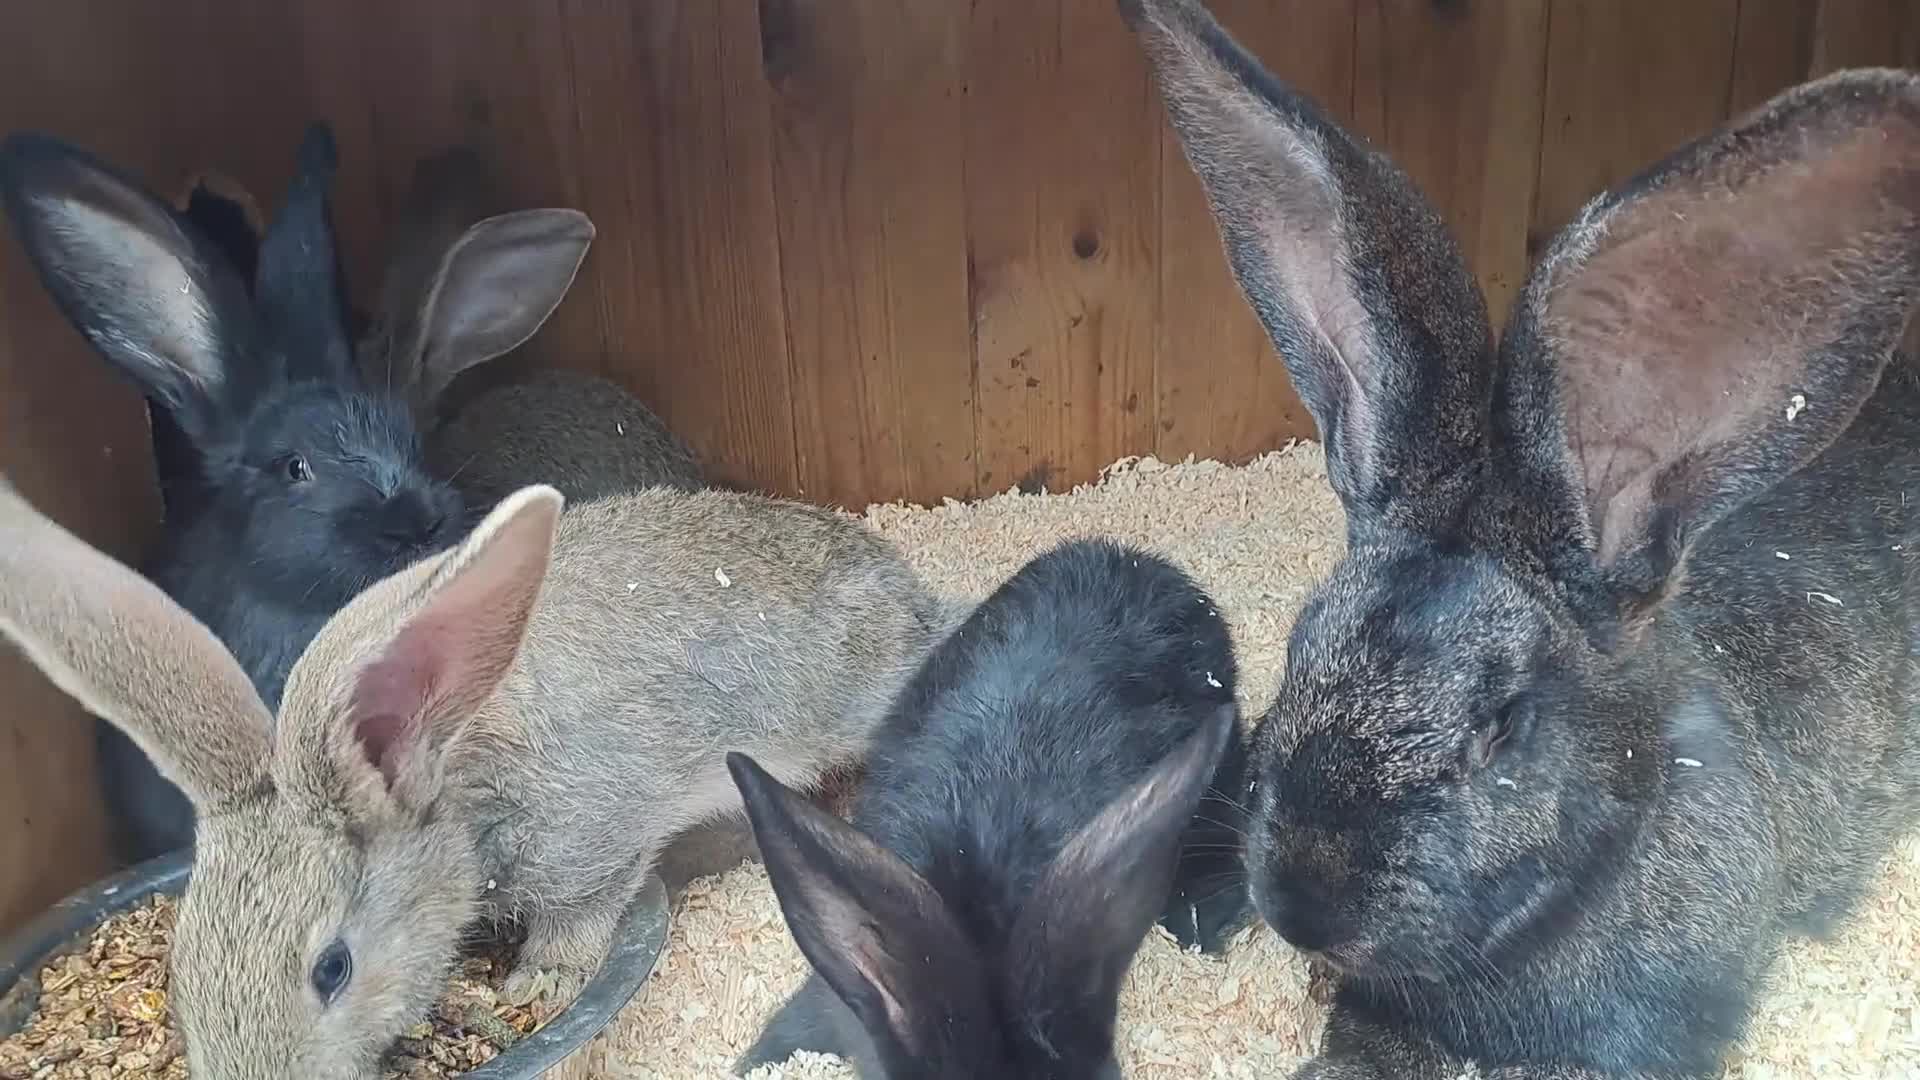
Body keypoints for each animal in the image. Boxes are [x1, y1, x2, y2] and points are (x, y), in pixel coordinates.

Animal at [0, 465, 954, 1079]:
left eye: (332, 969)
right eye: (181, 956)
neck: (452, 793)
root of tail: (911, 596)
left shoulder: (591, 843)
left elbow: (581, 919)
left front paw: (539, 983)